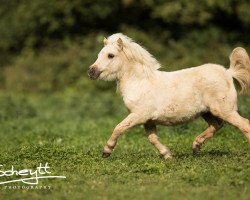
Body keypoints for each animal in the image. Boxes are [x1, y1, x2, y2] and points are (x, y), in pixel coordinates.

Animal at [88, 33, 250, 160]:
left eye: (110, 55)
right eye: (98, 55)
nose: (91, 72)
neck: (139, 83)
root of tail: (229, 73)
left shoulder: (138, 115)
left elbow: (119, 127)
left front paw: (106, 151)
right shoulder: (148, 120)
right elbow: (152, 138)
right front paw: (167, 155)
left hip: (225, 110)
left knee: (244, 125)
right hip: (207, 112)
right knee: (216, 125)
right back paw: (195, 146)